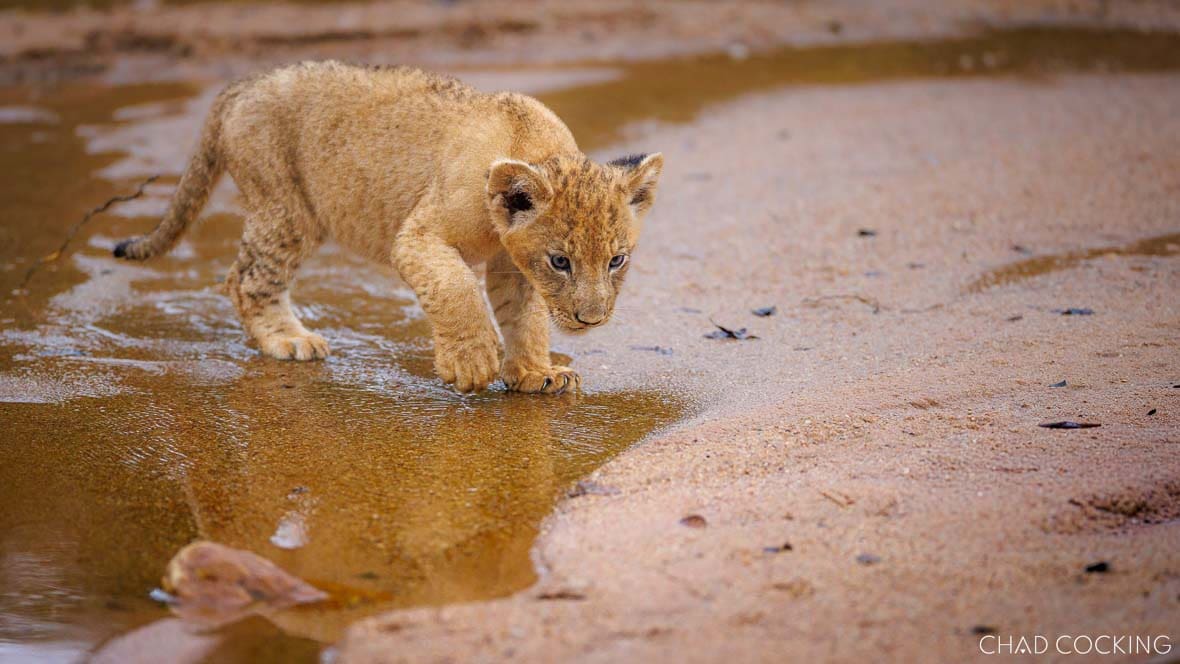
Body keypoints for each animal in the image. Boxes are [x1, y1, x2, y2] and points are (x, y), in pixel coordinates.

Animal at [113, 61, 663, 394]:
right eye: (560, 262)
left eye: (617, 260)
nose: (591, 320)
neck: (534, 147)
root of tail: (243, 84)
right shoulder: (418, 237)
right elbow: (457, 289)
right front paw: (472, 362)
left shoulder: (512, 262)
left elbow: (523, 316)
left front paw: (534, 372)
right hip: (287, 208)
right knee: (247, 279)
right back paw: (288, 339)